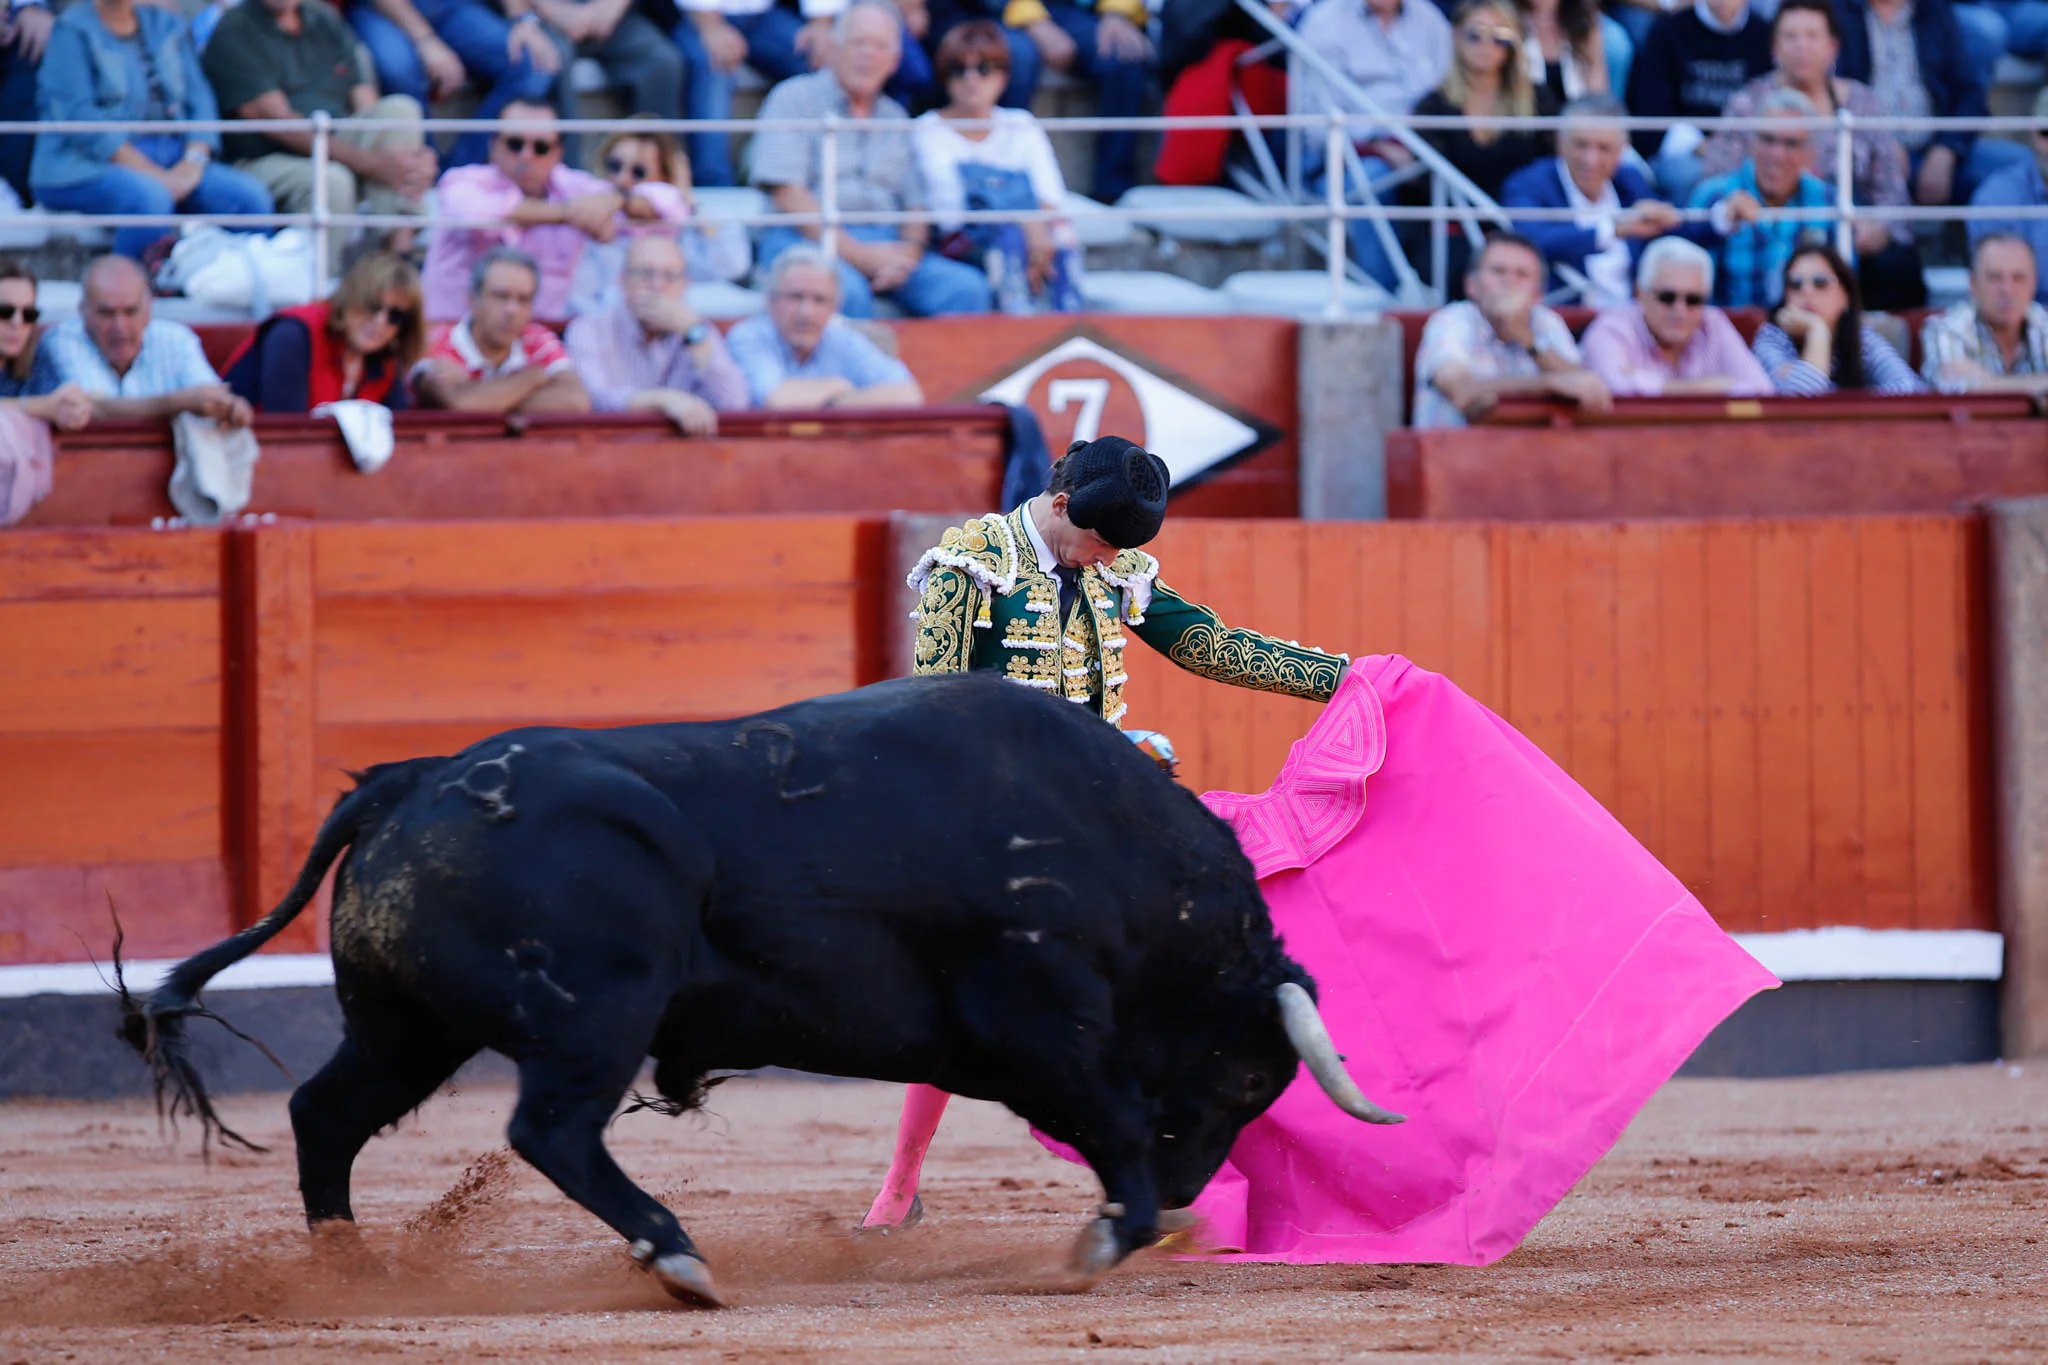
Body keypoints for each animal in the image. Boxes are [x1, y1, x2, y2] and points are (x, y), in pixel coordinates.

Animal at [128, 679, 1400, 1309]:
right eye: (1244, 1073)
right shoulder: (1043, 1013)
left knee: (327, 1112)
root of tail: (414, 780)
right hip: (591, 1017)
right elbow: (1118, 1118)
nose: (1191, 1196)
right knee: (549, 1130)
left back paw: (350, 1269)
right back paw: (675, 1256)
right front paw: (1112, 1231)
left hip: (409, 1027)